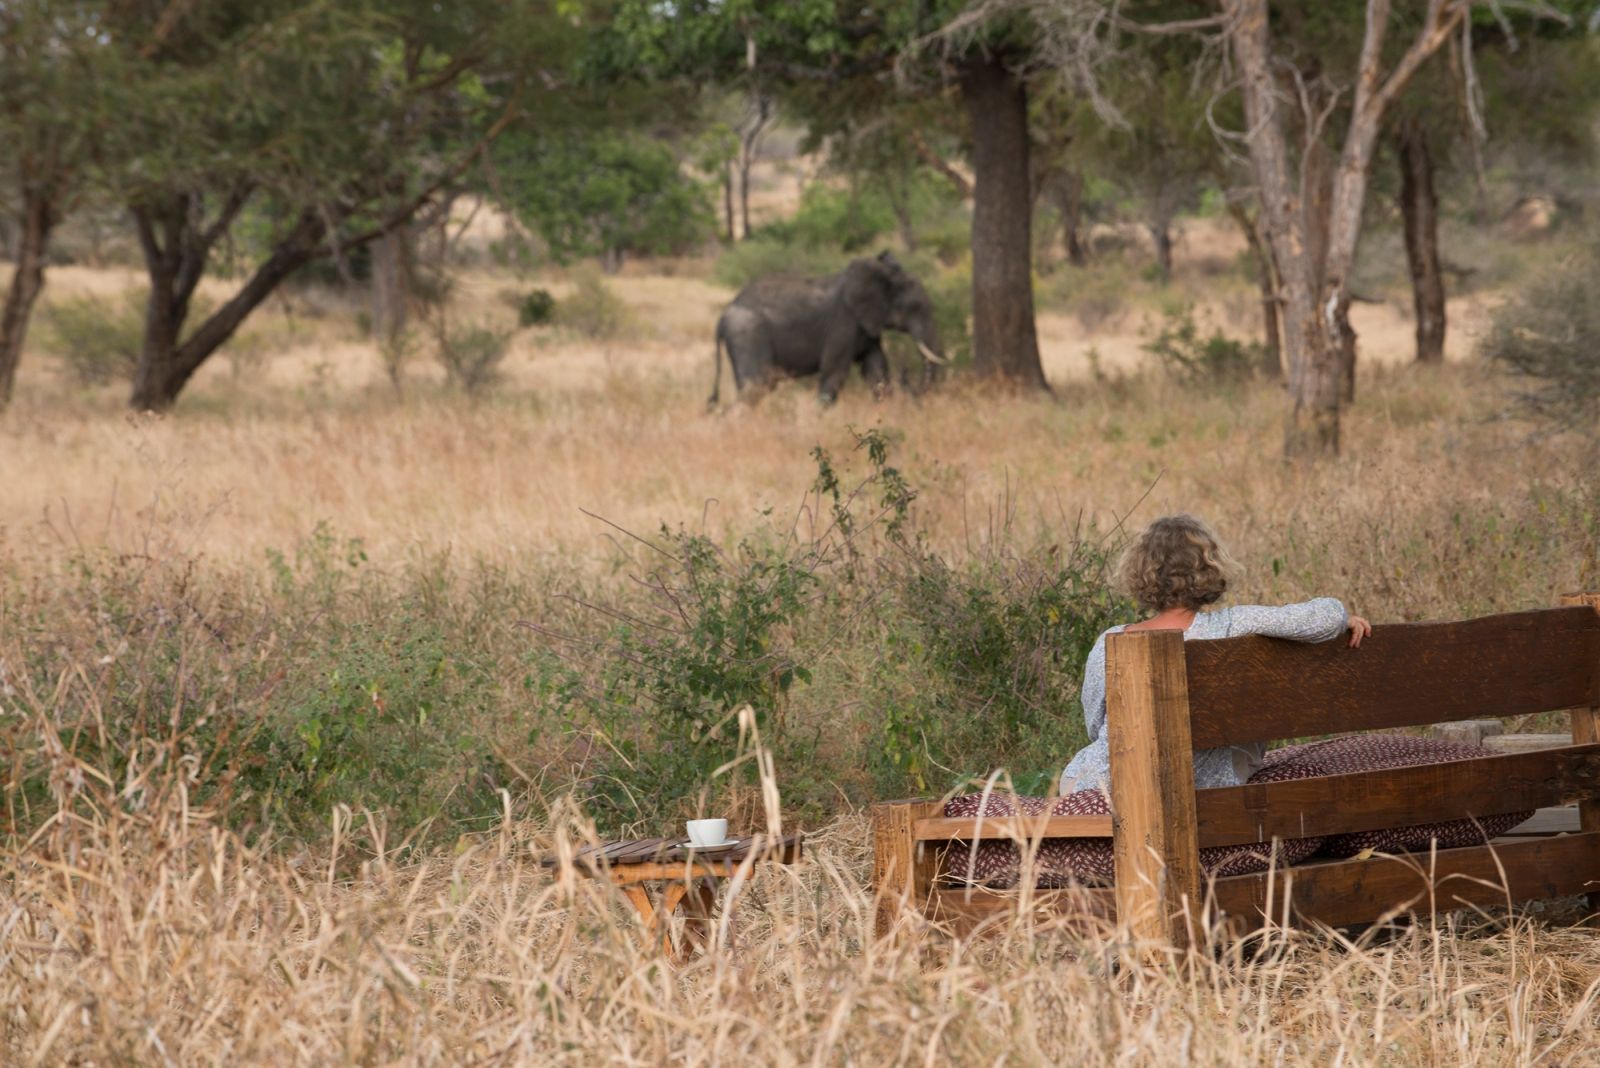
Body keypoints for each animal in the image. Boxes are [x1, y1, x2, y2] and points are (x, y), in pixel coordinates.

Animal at [709, 251, 946, 407]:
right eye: (916, 307)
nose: (905, 373)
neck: (881, 273)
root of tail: (723, 316)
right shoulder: (842, 323)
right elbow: (835, 373)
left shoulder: (866, 326)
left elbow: (875, 368)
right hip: (748, 335)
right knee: (756, 387)